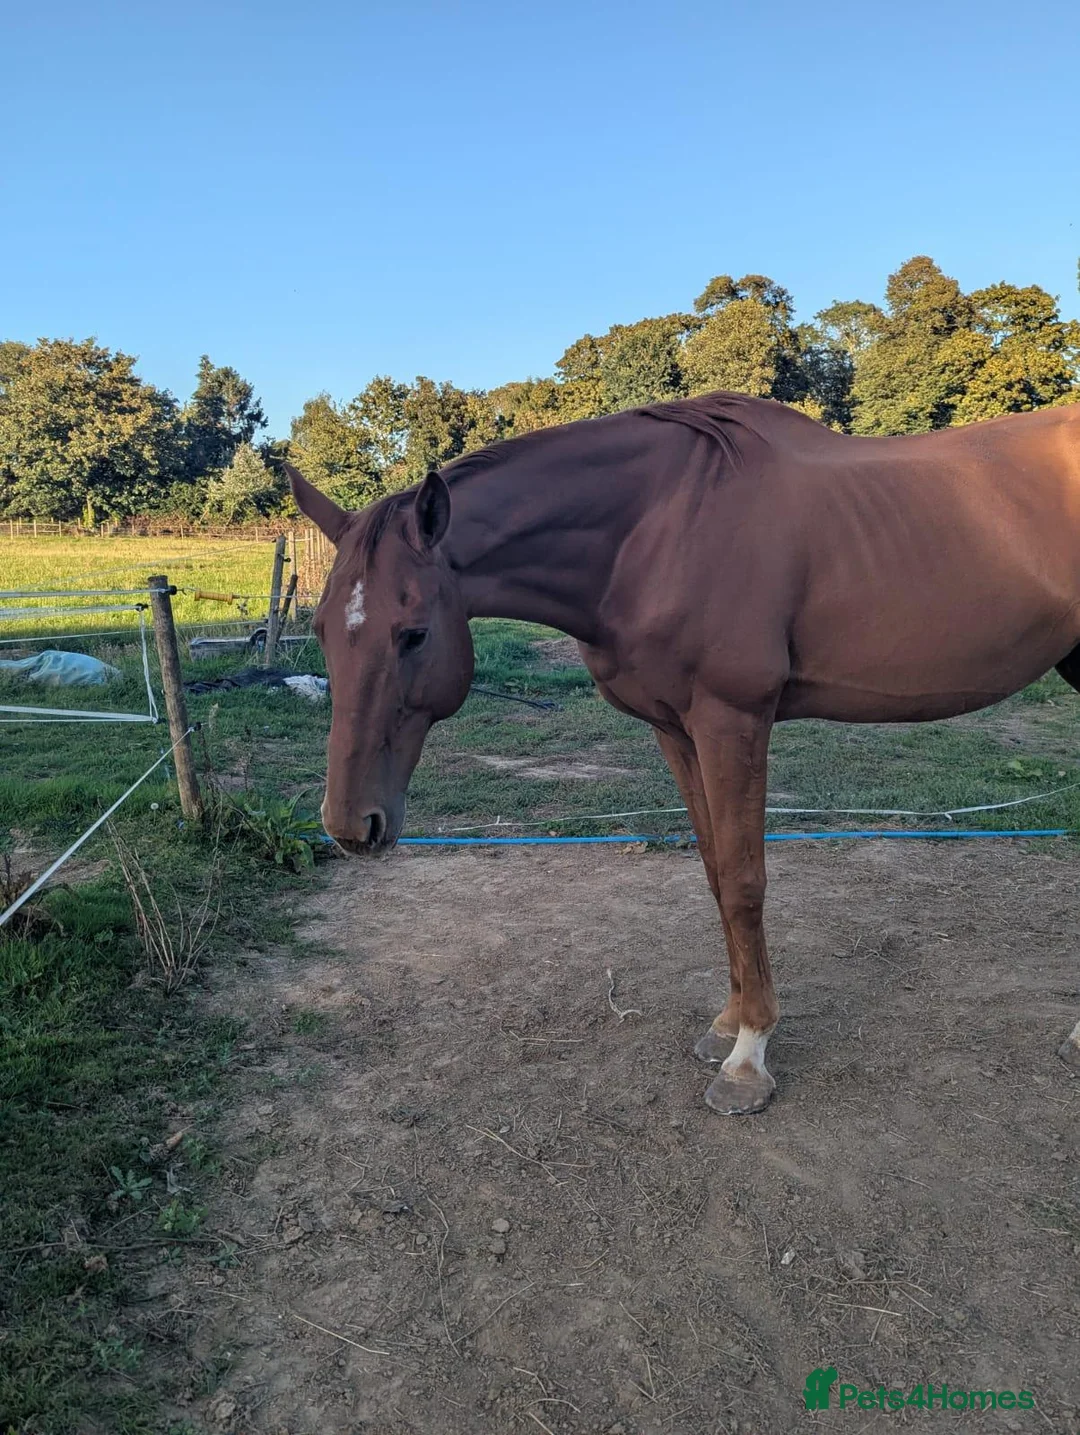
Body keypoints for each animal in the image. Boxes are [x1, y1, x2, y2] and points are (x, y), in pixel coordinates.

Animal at [285, 390, 1080, 1116]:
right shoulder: (677, 730)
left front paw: (748, 1059)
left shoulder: (734, 722)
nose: (351, 826)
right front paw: (728, 1023)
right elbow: (715, 874)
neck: (655, 529)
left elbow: (746, 882)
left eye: (414, 632)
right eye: (320, 629)